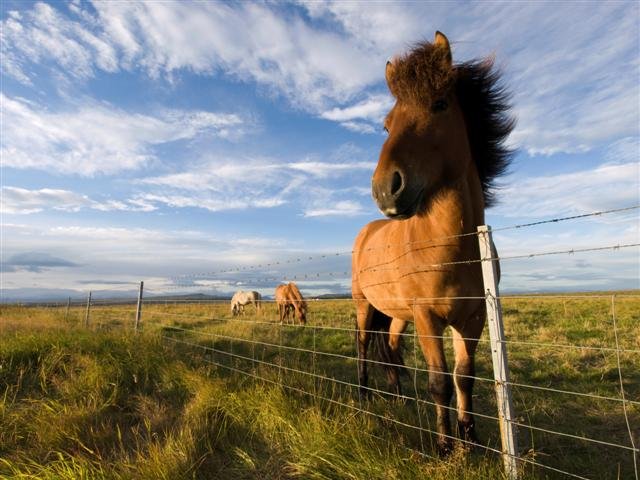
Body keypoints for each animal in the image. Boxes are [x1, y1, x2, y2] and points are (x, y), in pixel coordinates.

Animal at [352, 31, 512, 454]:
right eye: (386, 124)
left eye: (439, 105)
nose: (385, 188)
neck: (451, 250)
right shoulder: (427, 317)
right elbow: (439, 381)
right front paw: (444, 446)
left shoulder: (472, 317)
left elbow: (464, 376)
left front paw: (469, 438)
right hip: (364, 305)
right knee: (363, 345)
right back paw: (363, 395)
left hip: (395, 314)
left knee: (391, 349)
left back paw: (398, 396)